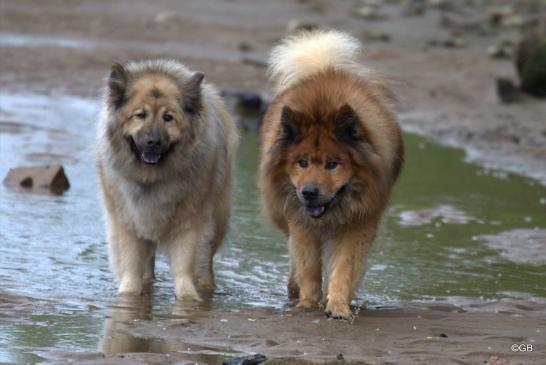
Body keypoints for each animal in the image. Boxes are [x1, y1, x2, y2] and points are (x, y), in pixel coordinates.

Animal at [96, 59, 237, 298]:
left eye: (168, 118)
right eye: (140, 115)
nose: (153, 142)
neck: (151, 179)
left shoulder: (189, 224)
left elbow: (184, 267)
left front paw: (188, 298)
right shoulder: (127, 223)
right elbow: (131, 267)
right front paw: (129, 296)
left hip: (216, 220)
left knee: (206, 262)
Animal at [258, 30, 402, 318]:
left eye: (332, 164)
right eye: (302, 162)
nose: (309, 192)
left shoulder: (359, 223)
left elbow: (344, 269)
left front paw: (337, 305)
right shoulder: (301, 224)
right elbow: (309, 268)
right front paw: (308, 303)